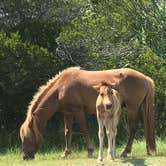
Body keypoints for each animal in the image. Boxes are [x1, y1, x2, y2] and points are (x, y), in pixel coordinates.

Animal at [19, 66, 156, 160]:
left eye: (26, 137)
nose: (25, 156)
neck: (61, 88)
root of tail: (145, 78)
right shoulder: (68, 113)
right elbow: (67, 132)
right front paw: (66, 153)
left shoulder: (78, 111)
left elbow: (84, 129)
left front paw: (90, 150)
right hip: (140, 108)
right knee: (145, 127)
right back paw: (148, 150)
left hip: (132, 108)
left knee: (132, 129)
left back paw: (125, 152)